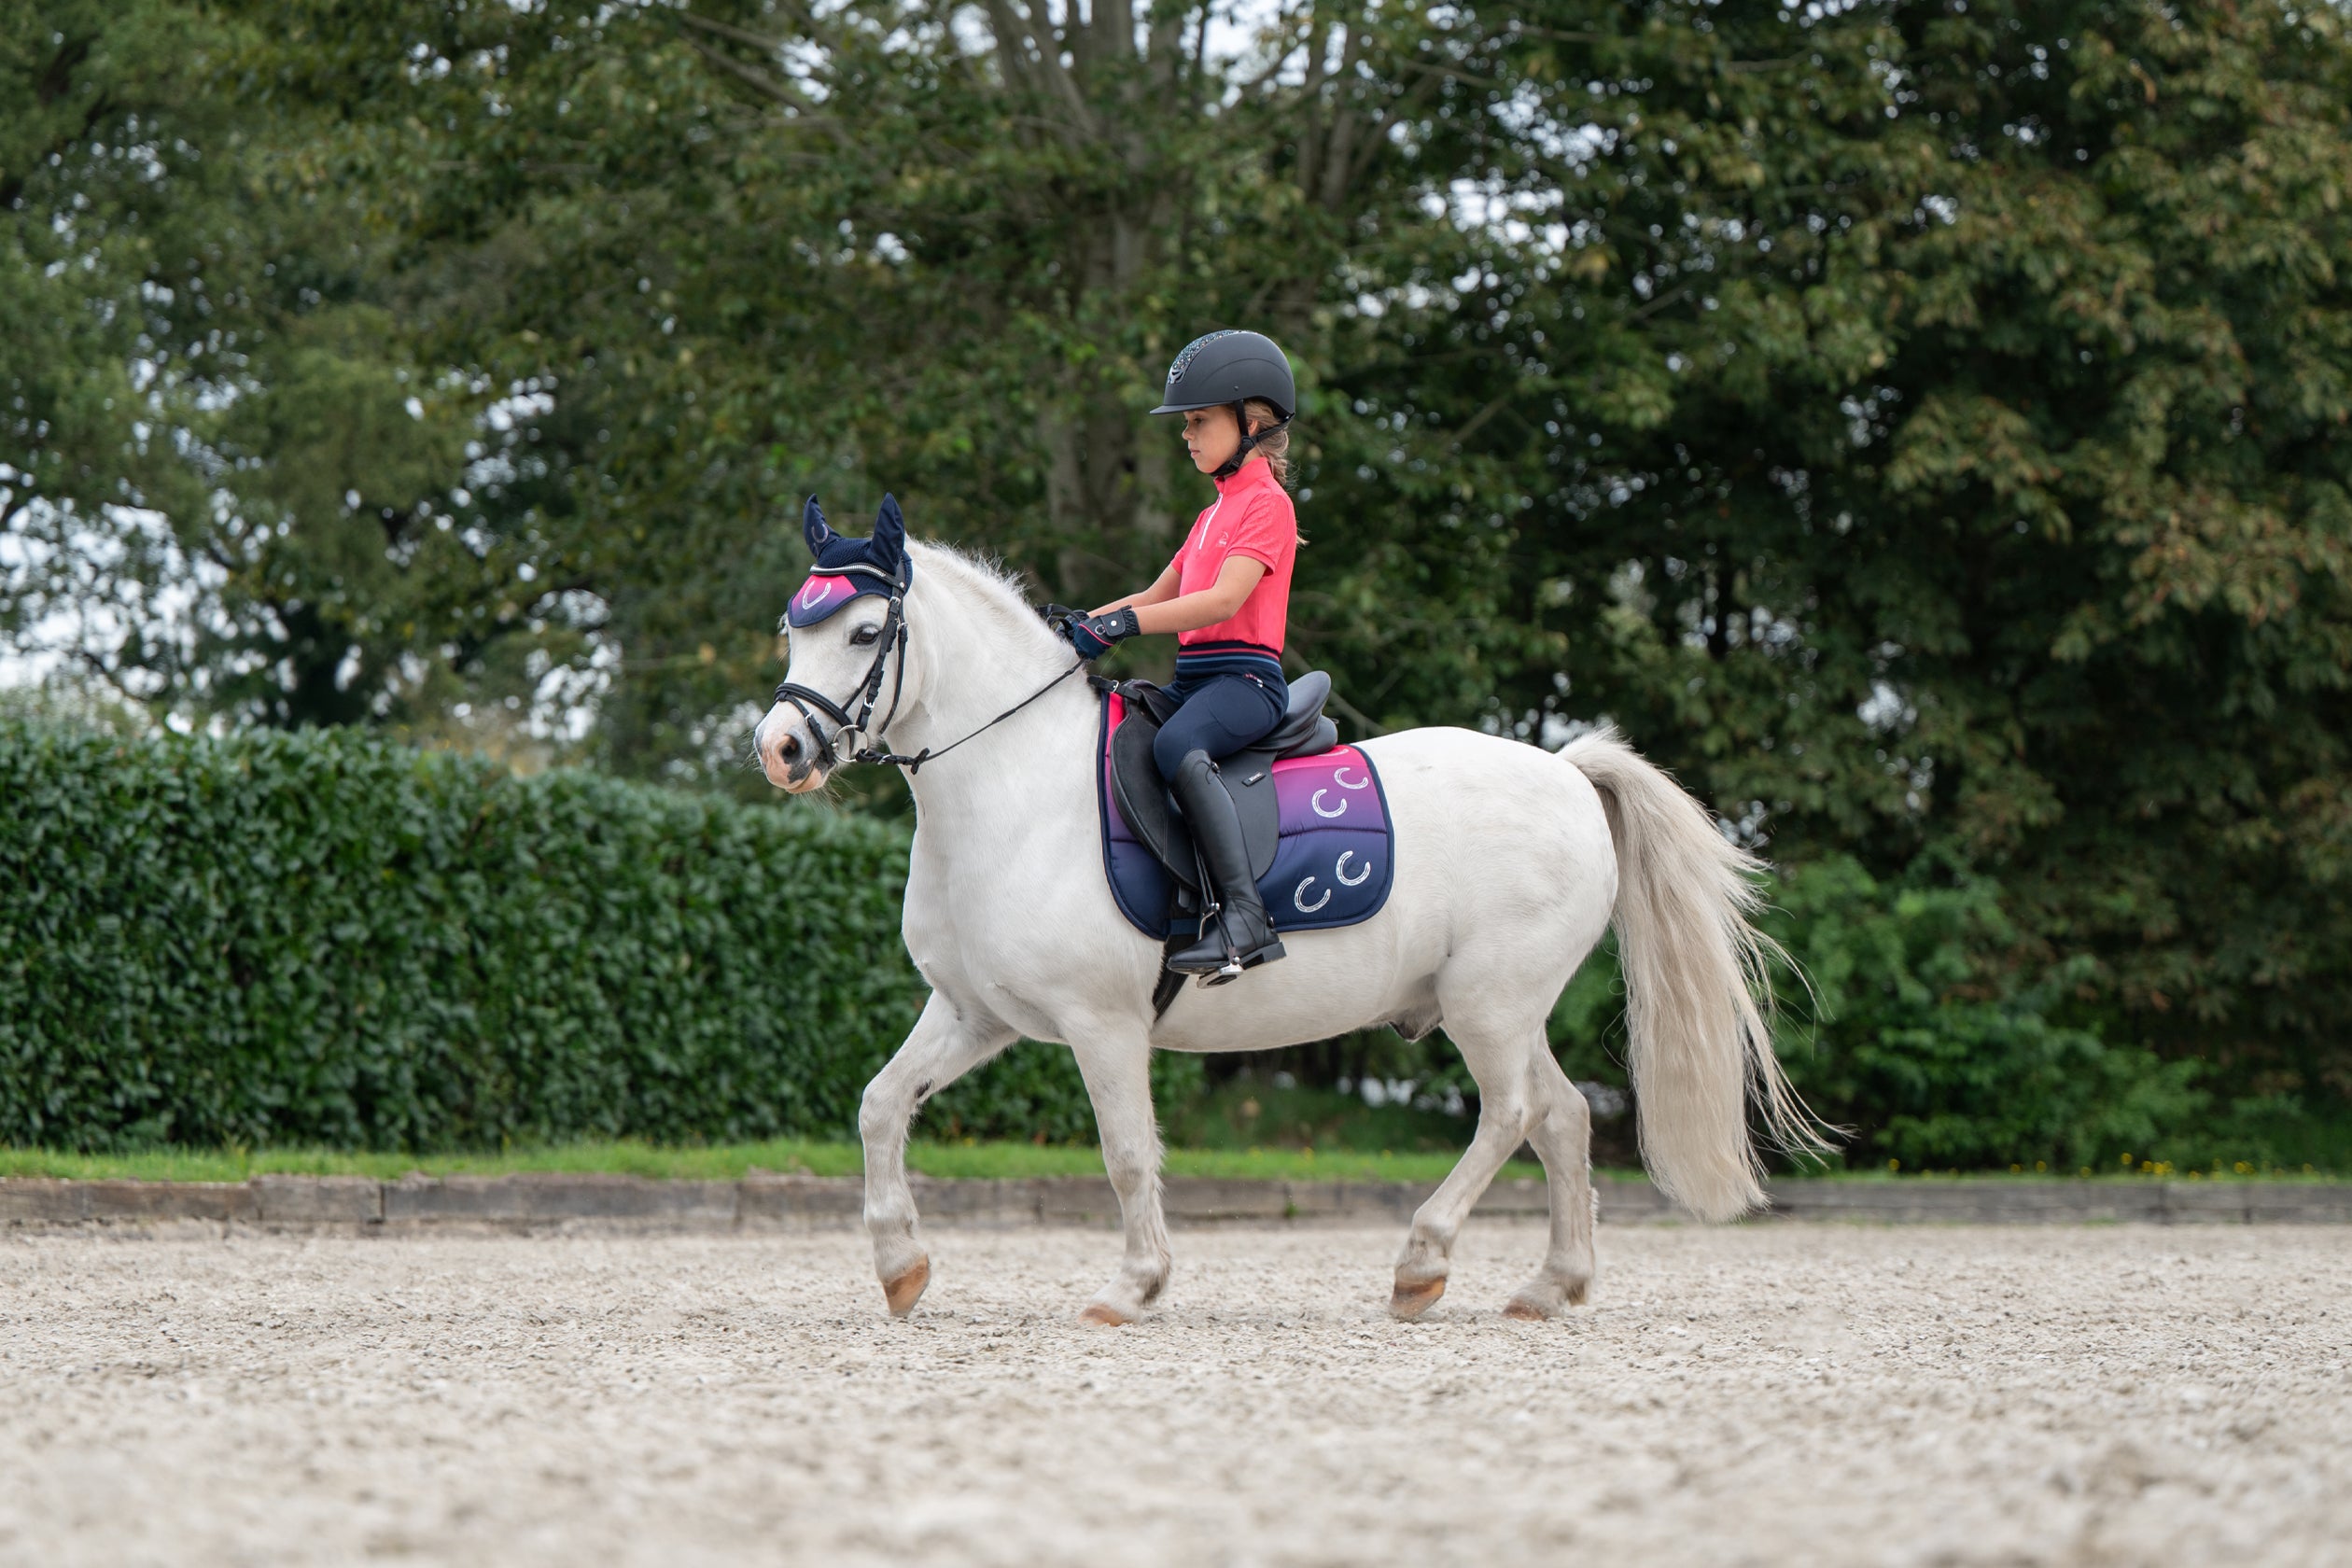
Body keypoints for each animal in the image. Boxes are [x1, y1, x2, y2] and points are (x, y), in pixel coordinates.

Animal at [755, 538, 1817, 1325]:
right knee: (1561, 1116)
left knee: (1513, 1114)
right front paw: (900, 1268)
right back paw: (1549, 1287)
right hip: (1504, 1009)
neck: (1012, 787)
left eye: (863, 631)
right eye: (793, 631)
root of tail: (1565, 770)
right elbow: (881, 1106)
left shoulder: (1102, 1024)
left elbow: (1127, 1152)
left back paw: (1421, 1264)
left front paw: (1132, 1288)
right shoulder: (975, 1014)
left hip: (1490, 1005)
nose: (781, 749)